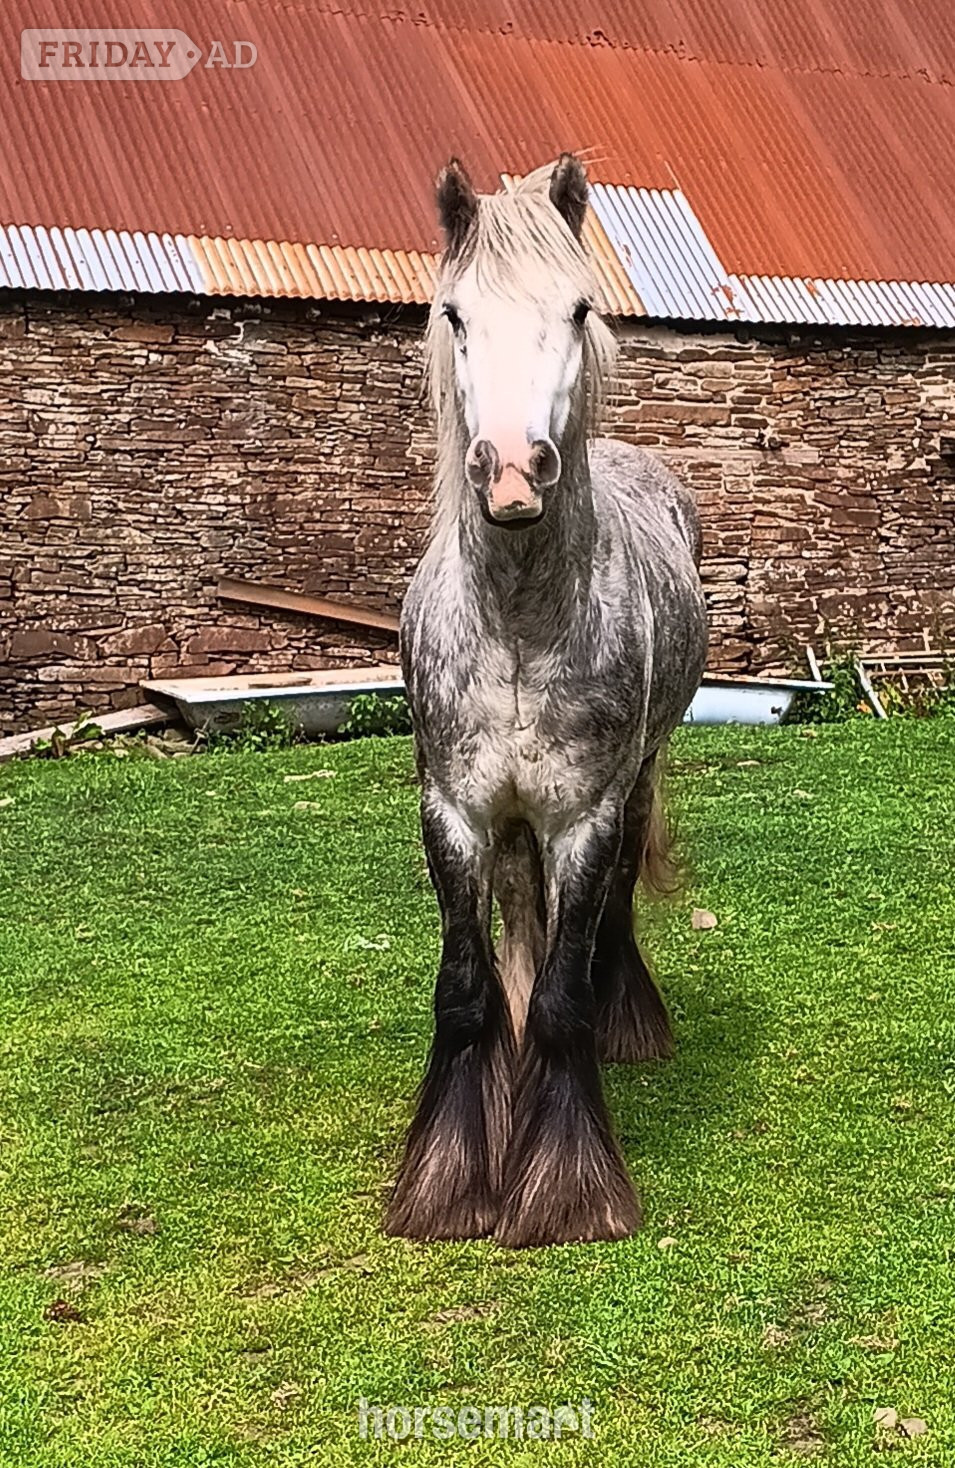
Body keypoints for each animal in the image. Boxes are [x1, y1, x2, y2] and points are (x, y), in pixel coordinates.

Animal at [386, 155, 707, 1247]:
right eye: (454, 313)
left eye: (577, 308)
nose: (514, 475)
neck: (520, 623)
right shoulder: (454, 811)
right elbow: (464, 986)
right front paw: (448, 1183)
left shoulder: (583, 815)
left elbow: (565, 987)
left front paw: (567, 1188)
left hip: (636, 780)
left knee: (609, 911)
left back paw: (625, 1022)